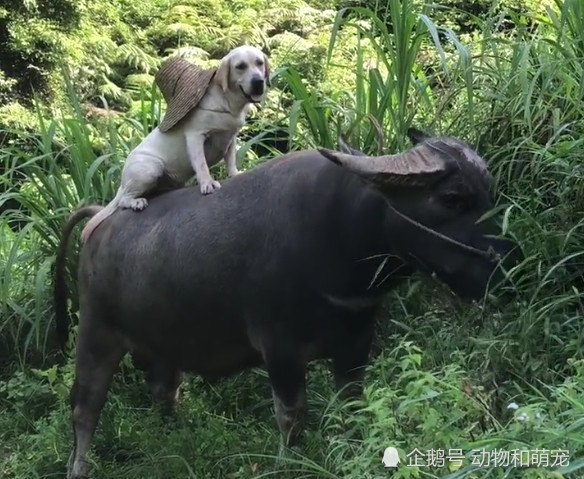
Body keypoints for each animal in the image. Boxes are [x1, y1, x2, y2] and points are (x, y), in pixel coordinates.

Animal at [53, 128, 520, 479]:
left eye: (489, 192)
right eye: (452, 198)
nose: (507, 267)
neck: (340, 232)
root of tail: (102, 219)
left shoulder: (356, 343)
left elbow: (354, 407)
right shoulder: (279, 350)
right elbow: (292, 417)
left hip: (164, 341)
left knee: (164, 390)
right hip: (96, 333)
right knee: (85, 406)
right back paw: (79, 467)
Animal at [81, 45, 270, 242]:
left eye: (259, 63)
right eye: (240, 66)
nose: (258, 82)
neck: (228, 104)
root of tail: (123, 183)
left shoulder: (230, 138)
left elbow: (231, 160)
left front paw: (234, 174)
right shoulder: (195, 136)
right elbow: (201, 164)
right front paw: (207, 183)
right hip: (150, 168)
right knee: (124, 200)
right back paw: (135, 202)